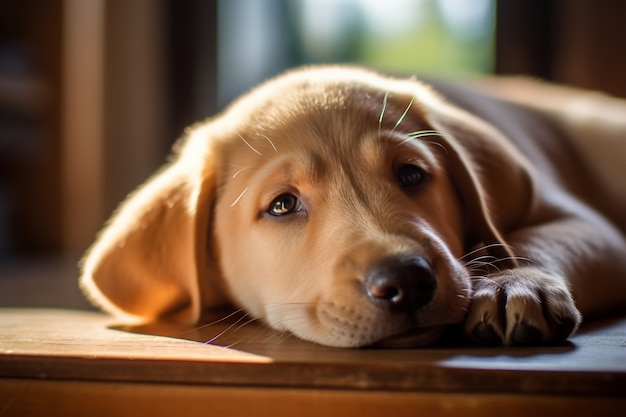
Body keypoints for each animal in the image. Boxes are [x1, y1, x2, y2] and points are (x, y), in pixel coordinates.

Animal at [79, 66, 624, 348]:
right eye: (282, 204)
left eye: (412, 175)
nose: (407, 280)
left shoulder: (592, 228)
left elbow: (538, 239)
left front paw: (515, 283)